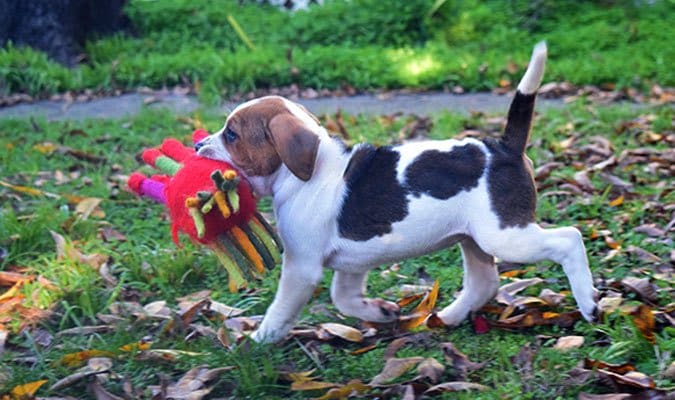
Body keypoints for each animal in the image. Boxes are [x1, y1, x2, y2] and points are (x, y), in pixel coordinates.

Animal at [198, 43, 600, 344]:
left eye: (231, 135)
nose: (199, 145)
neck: (303, 176)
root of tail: (503, 147)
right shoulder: (352, 263)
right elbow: (344, 299)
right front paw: (381, 312)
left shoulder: (301, 267)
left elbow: (280, 310)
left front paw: (257, 342)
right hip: (472, 238)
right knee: (484, 282)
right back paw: (448, 317)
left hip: (505, 235)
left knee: (569, 239)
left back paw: (589, 303)